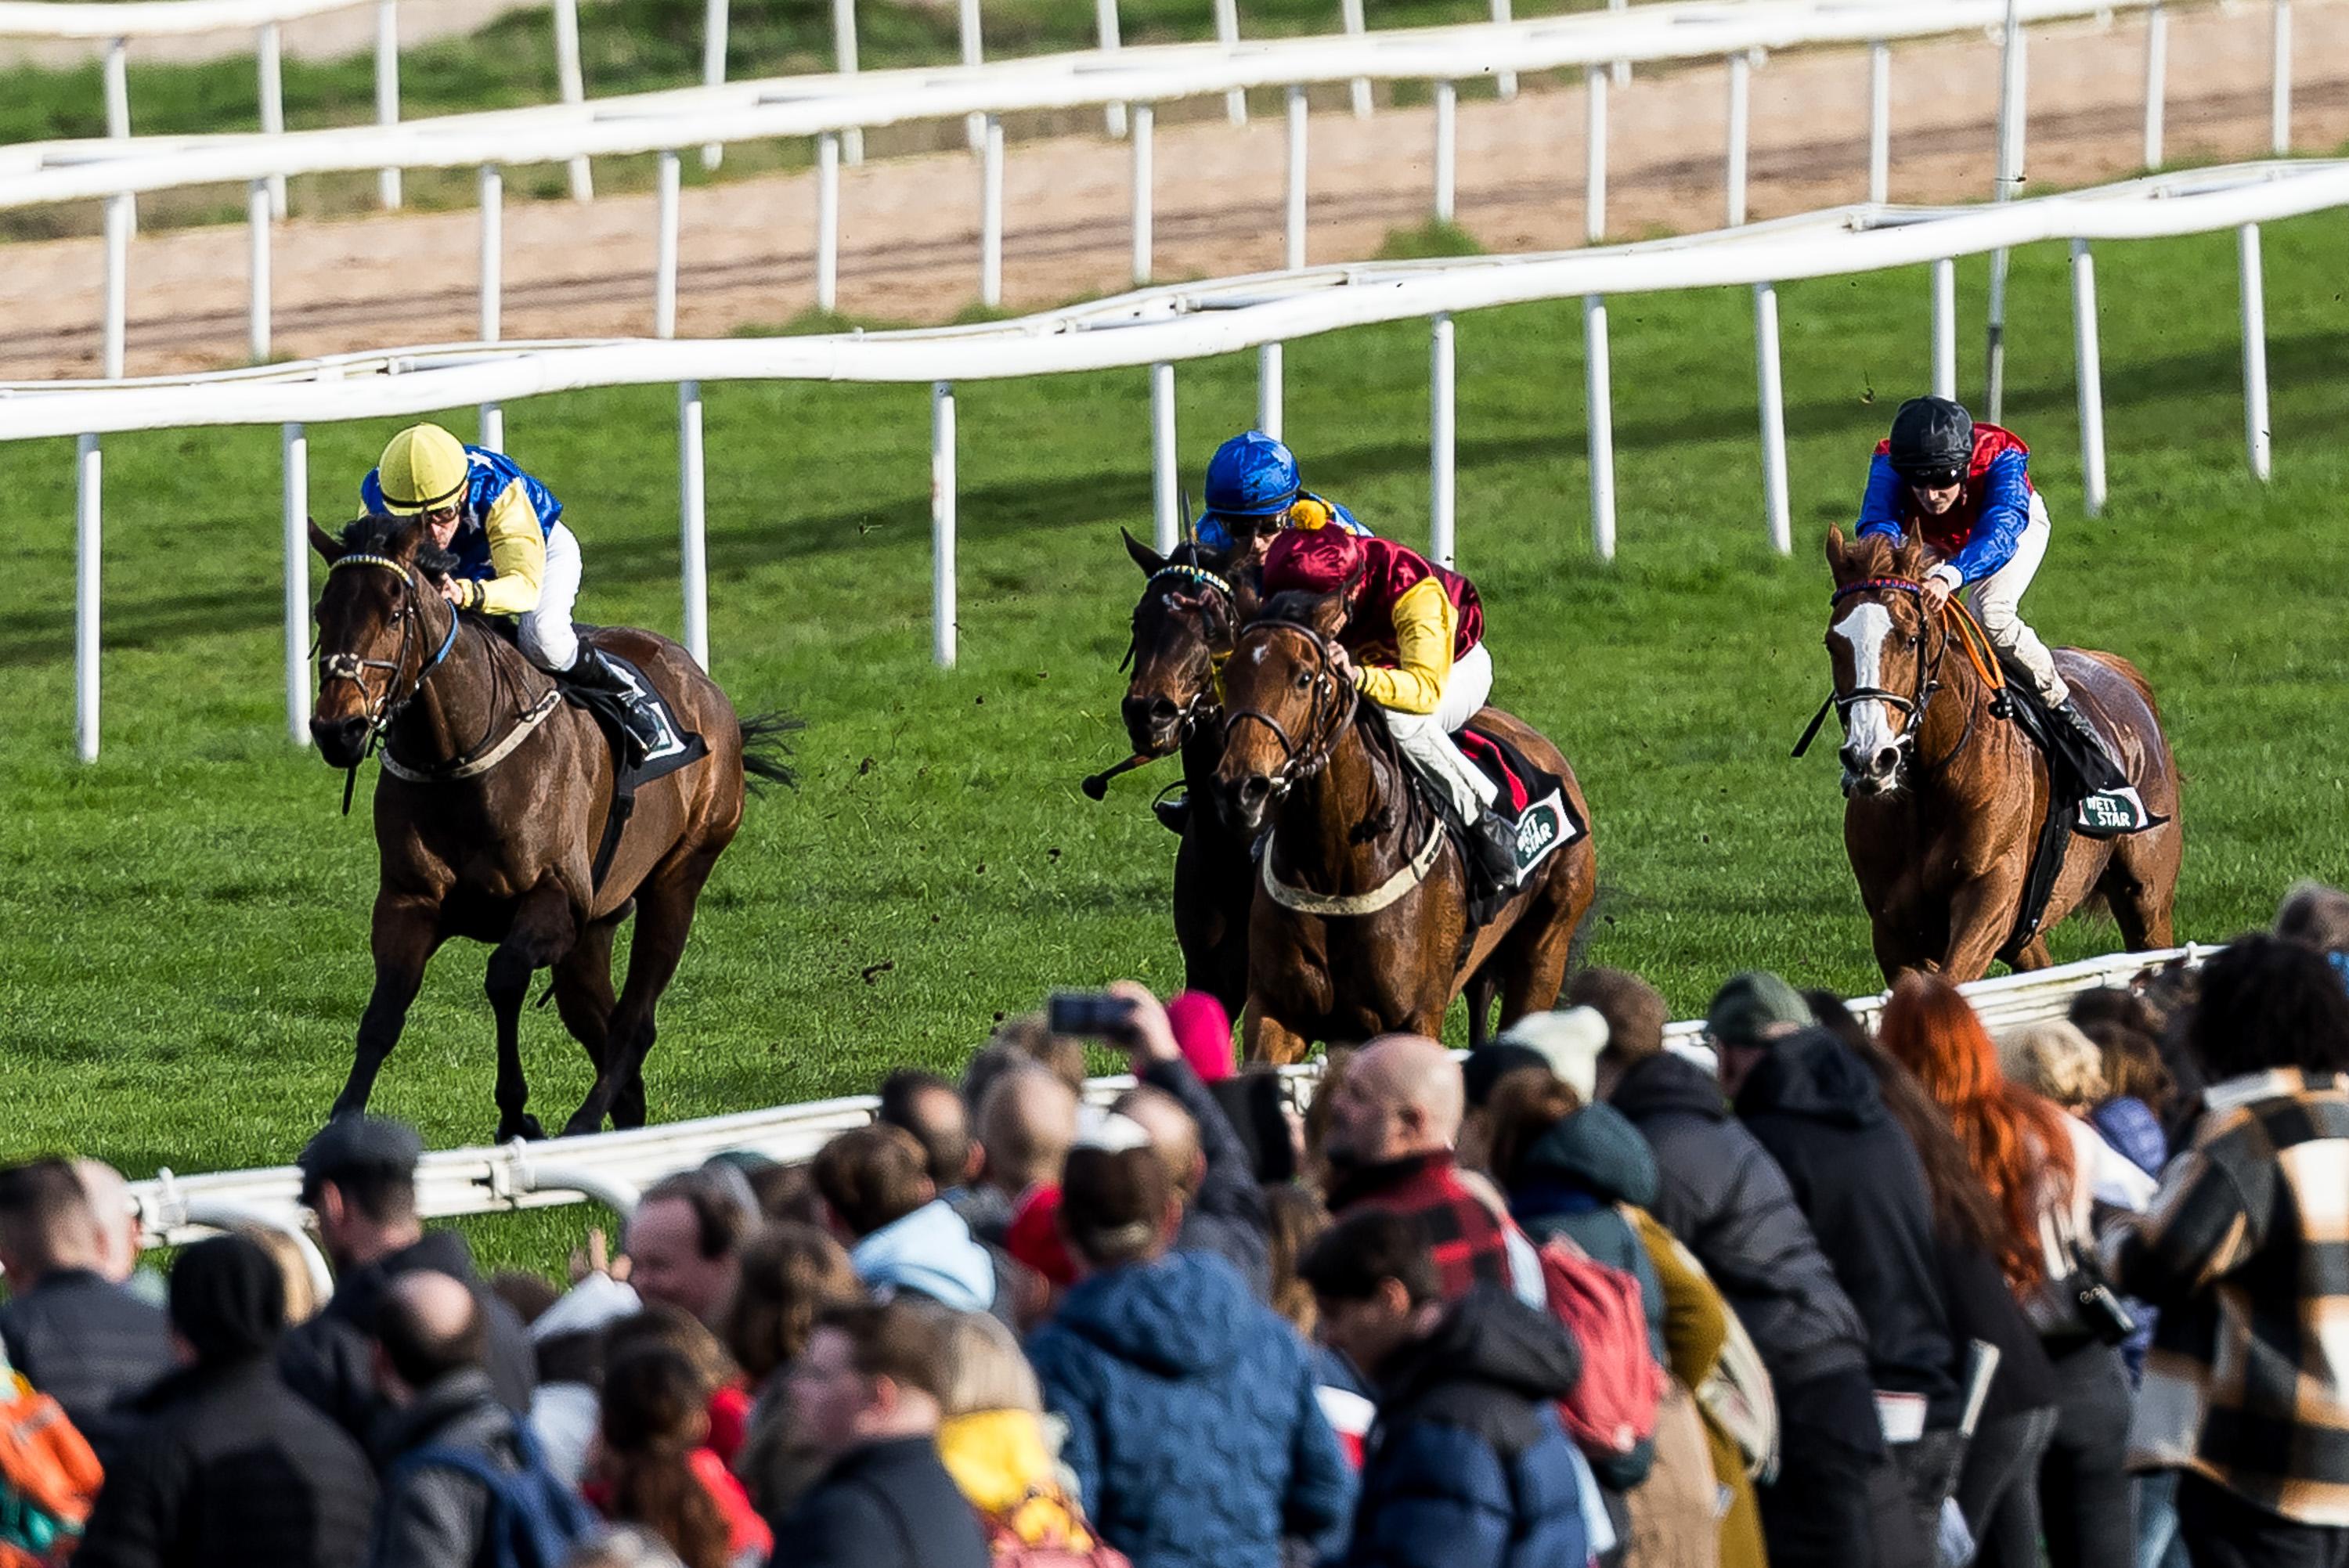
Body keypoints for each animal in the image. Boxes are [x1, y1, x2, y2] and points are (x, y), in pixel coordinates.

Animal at [310, 514, 799, 1141]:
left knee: (635, 1022)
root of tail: (703, 683)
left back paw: (584, 1122)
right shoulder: (408, 901)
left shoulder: (557, 899)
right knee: (603, 1028)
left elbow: (503, 976)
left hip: (680, 876)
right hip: (594, 930)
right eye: (321, 612)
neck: (457, 759)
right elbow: (382, 1012)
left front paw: (516, 1114)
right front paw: (341, 1122)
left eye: (395, 613)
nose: (337, 729)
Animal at [1212, 586, 1597, 1065]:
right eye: (1227, 674)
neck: (1334, 867)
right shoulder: (1277, 1011)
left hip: (1546, 948)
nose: (1240, 788)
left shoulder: (1412, 1019)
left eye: (1303, 678)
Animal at [1813, 532, 2180, 986]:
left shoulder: (1990, 896)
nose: (1870, 758)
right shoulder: (1893, 930)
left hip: (2147, 896)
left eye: (1910, 638)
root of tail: (2120, 671)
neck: (1928, 787)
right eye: (1833, 643)